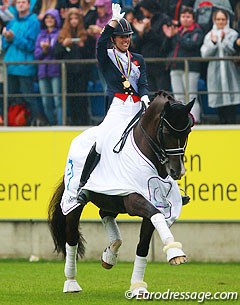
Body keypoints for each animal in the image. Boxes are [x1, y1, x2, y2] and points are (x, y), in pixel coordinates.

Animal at [47, 91, 194, 296]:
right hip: (74, 203)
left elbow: (143, 246)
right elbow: (156, 216)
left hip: (111, 200)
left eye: (187, 132)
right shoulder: (134, 198)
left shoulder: (153, 204)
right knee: (72, 239)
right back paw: (71, 282)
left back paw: (110, 254)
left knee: (105, 215)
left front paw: (138, 286)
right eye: (166, 132)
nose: (177, 171)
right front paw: (175, 252)